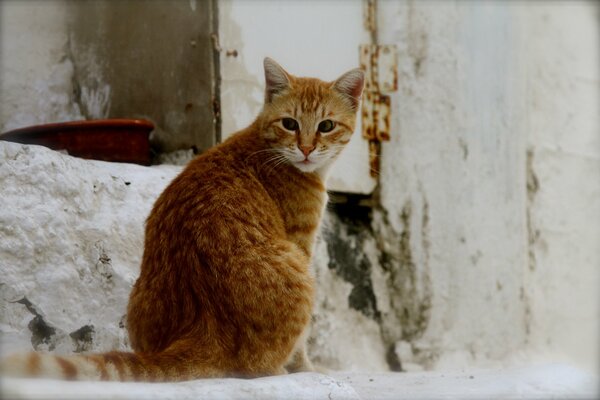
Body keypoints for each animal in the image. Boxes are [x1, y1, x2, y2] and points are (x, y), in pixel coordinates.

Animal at [0, 58, 364, 382]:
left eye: (326, 126)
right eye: (290, 124)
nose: (306, 149)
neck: (268, 147)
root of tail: (206, 327)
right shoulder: (302, 245)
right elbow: (302, 344)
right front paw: (307, 369)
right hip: (301, 273)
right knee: (258, 367)